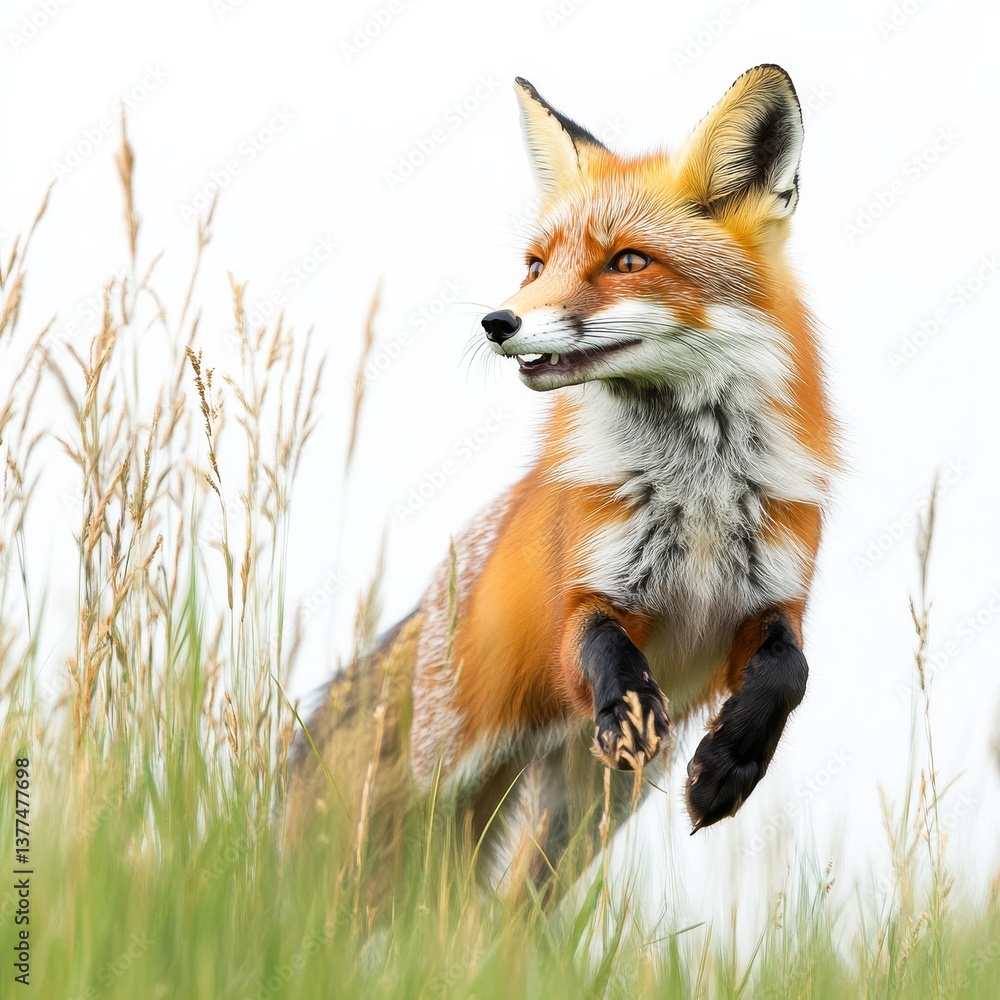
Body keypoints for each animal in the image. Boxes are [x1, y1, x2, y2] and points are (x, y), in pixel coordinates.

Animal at [288, 64, 837, 896]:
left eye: (628, 261)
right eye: (536, 266)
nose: (497, 322)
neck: (697, 492)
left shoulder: (767, 604)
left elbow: (789, 672)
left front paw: (729, 766)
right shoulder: (586, 590)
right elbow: (599, 644)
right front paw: (629, 706)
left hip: (578, 824)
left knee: (503, 915)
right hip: (433, 806)